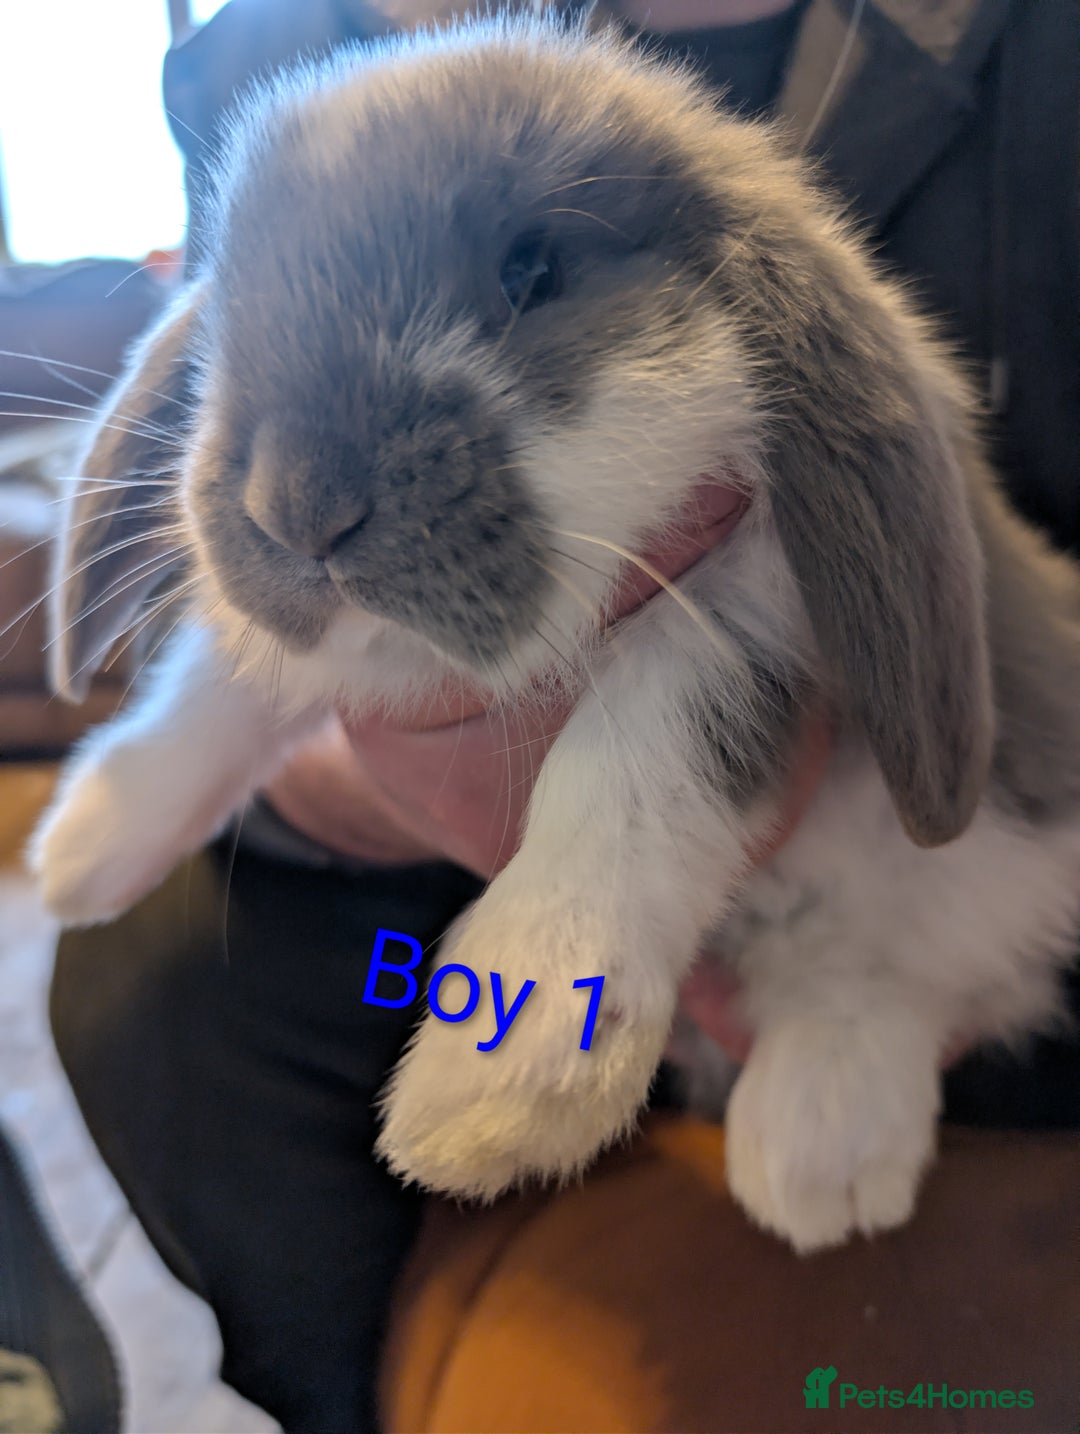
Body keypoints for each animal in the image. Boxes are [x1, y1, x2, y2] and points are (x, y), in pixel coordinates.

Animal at [27, 13, 1080, 1253]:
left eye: (534, 272)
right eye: (234, 308)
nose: (296, 507)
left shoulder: (747, 617)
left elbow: (636, 763)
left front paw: (495, 1087)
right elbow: (222, 677)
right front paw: (90, 839)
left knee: (900, 970)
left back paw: (817, 1152)